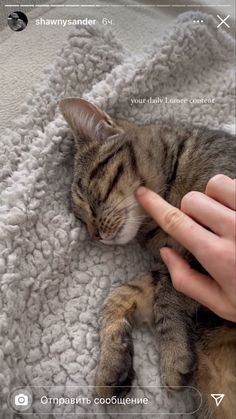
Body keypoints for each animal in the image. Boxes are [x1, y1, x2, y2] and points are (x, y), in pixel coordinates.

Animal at [59, 97, 236, 418]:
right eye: (79, 218)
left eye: (89, 198)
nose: (93, 234)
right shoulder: (170, 264)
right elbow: (119, 296)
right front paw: (111, 364)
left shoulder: (199, 250)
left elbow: (168, 294)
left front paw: (174, 354)